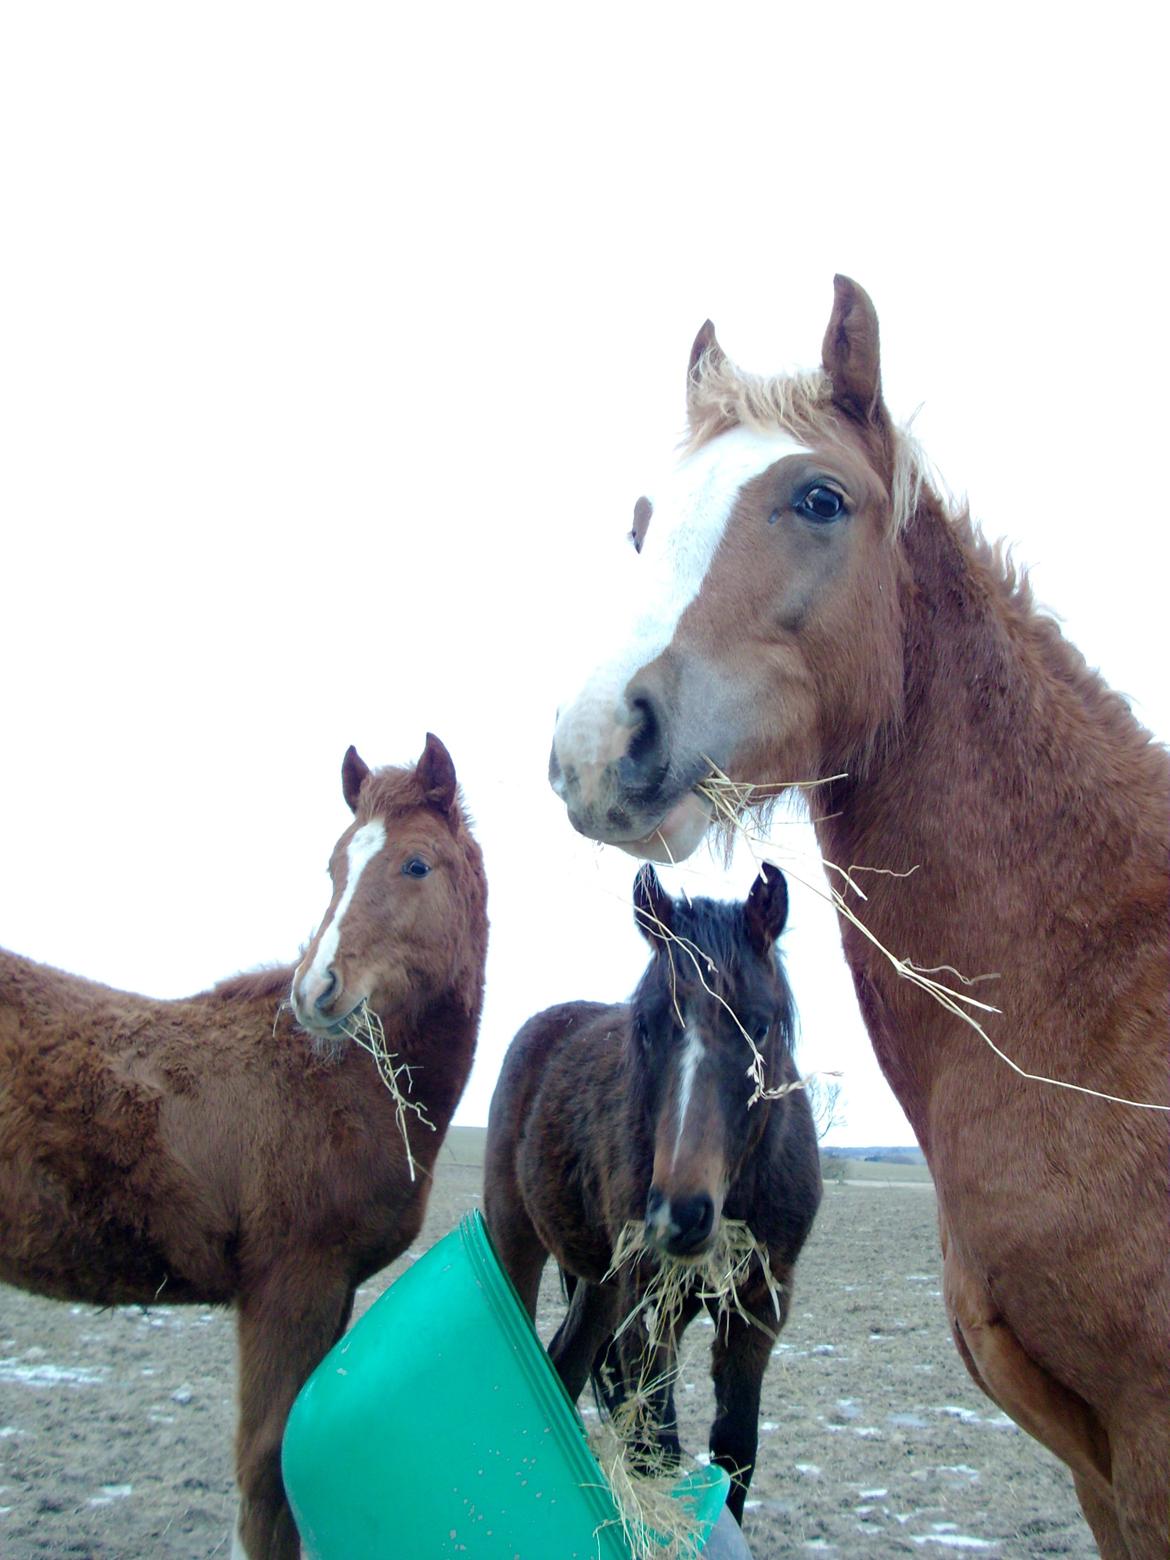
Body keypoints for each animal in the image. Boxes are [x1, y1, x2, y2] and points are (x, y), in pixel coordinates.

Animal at [0, 736, 486, 1560]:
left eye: (417, 864)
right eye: (334, 866)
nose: (315, 991)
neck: (329, 1080)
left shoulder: (331, 1286)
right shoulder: (288, 1282)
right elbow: (266, 1474)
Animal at [486, 861, 823, 1516]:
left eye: (760, 1024)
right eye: (645, 1024)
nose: (679, 1216)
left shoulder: (758, 1307)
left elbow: (735, 1449)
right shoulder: (649, 1305)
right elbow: (657, 1446)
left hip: (598, 1288)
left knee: (564, 1366)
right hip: (519, 1245)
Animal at [549, 277, 1170, 1560]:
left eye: (820, 498)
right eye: (643, 522)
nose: (595, 745)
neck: (1107, 1002)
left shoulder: (1151, 1444)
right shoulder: (1102, 1471)